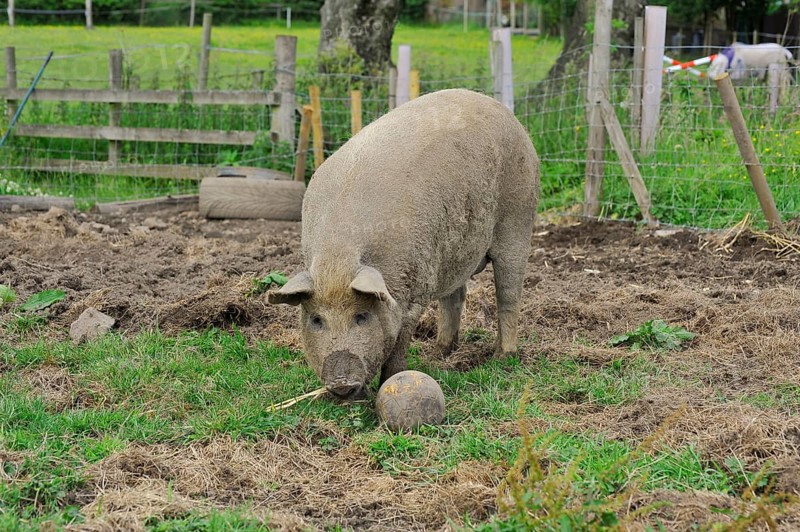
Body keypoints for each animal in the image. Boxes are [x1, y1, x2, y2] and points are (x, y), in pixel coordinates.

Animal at [268, 88, 540, 399]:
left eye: (362, 316)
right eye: (316, 320)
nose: (342, 383)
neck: (339, 257)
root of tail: (506, 113)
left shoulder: (415, 288)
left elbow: (400, 341)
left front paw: (391, 381)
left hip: (518, 219)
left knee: (509, 293)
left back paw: (501, 358)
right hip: (451, 250)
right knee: (455, 296)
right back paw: (439, 352)